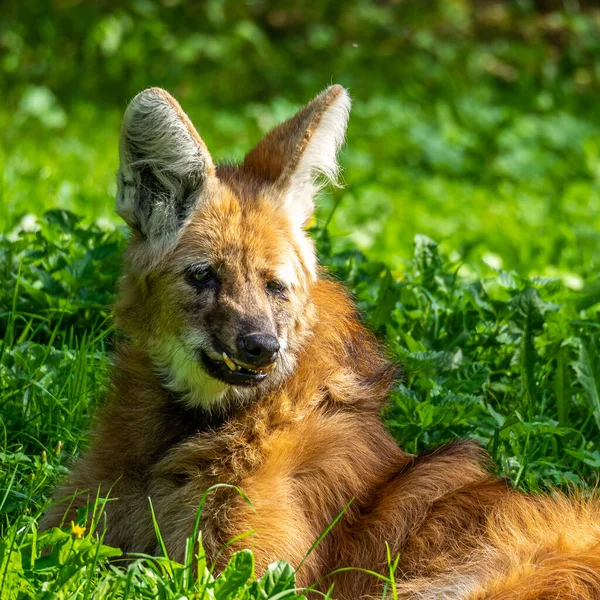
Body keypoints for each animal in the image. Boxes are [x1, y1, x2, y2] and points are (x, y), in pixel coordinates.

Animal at [44, 85, 600, 600]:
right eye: (203, 275)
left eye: (275, 285)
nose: (261, 346)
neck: (184, 432)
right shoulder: (76, 522)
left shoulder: (249, 573)